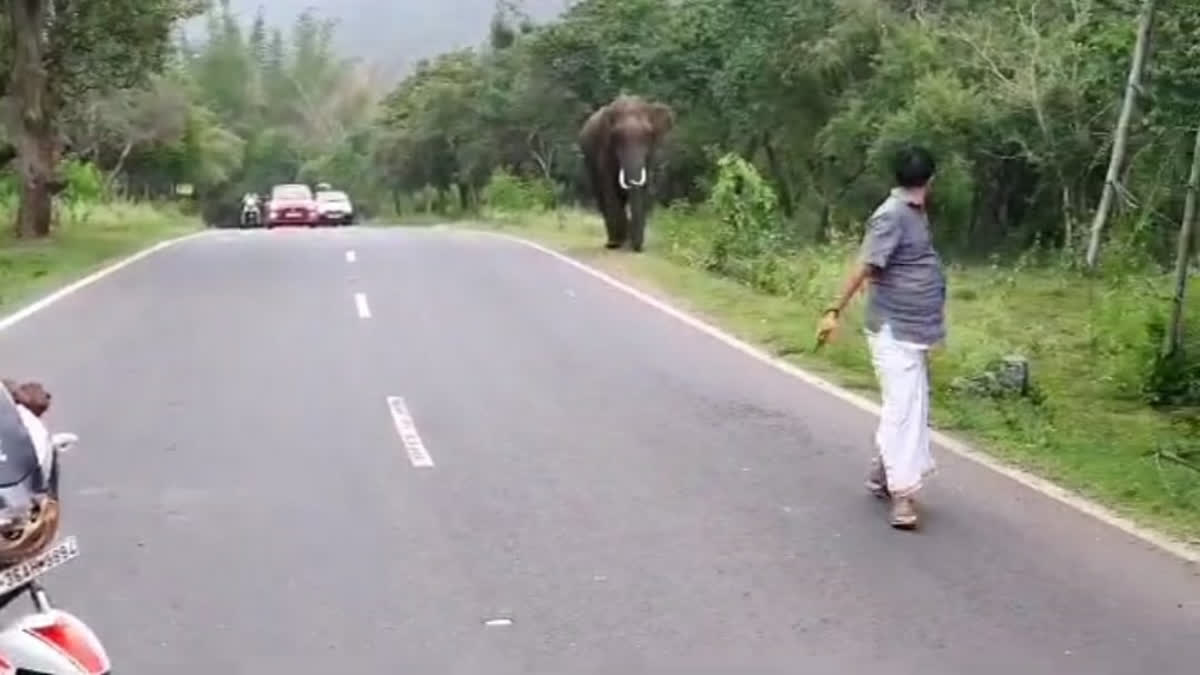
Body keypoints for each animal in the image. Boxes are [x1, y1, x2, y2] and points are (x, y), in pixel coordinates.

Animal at [578, 93, 676, 249]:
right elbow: (609, 188)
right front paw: (618, 243)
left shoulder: (650, 155)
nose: (637, 248)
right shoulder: (604, 148)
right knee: (601, 194)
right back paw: (613, 241)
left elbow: (643, 186)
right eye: (616, 136)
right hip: (588, 160)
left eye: (648, 134)